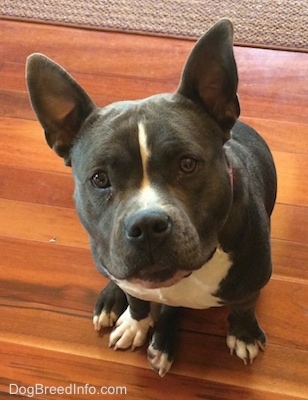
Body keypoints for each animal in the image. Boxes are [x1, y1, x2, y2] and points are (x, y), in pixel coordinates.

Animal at [25, 18, 276, 376]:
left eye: (187, 164)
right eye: (100, 179)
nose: (146, 225)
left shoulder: (251, 284)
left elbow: (243, 307)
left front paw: (244, 335)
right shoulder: (132, 280)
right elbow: (137, 299)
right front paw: (136, 321)